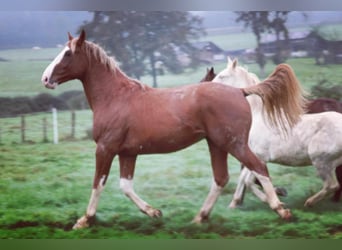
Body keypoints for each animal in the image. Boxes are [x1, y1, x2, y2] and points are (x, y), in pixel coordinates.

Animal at [40, 30, 304, 229]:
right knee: (221, 178)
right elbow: (125, 186)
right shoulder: (128, 153)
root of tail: (240, 91)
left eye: (68, 53)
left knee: (258, 167)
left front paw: (84, 220)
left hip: (234, 143)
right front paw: (154, 212)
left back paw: (281, 210)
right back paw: (199, 218)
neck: (116, 97)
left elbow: (98, 183)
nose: (45, 78)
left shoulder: (105, 149)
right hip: (217, 144)